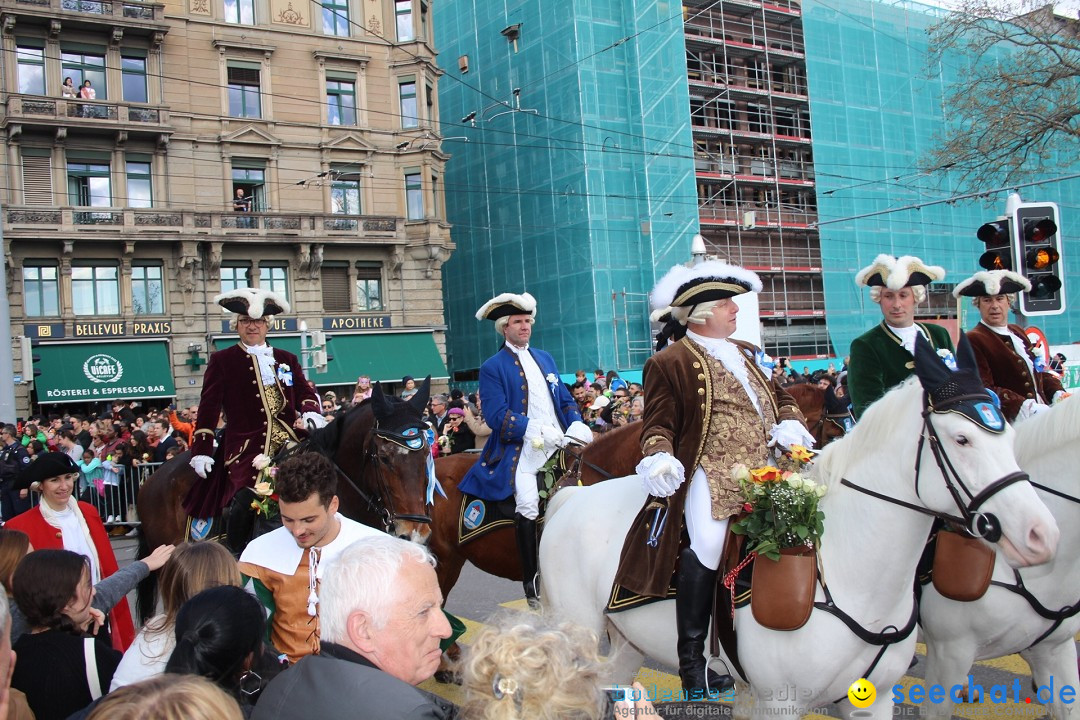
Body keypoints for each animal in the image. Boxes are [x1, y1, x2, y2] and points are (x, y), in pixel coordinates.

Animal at [540, 375, 1054, 716]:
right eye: (962, 439)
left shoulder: (871, 699)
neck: (849, 572)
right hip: (579, 638)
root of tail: (571, 497)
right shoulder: (779, 702)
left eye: (1008, 434)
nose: (1040, 533)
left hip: (625, 645)